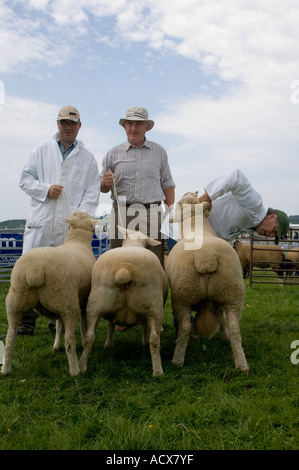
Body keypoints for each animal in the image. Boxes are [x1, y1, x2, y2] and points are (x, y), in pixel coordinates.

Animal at [0, 211, 97, 376]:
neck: (78, 241)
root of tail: (35, 271)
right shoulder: (83, 301)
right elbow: (83, 326)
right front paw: (85, 345)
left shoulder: (60, 308)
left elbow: (58, 325)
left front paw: (56, 346)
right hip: (67, 302)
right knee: (69, 340)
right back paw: (75, 370)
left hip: (16, 302)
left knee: (10, 338)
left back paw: (6, 370)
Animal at [79, 226, 169, 376]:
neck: (133, 244)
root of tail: (124, 269)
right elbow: (143, 326)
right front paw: (144, 341)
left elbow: (111, 324)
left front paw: (108, 344)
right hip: (154, 306)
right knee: (155, 340)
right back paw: (158, 371)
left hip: (96, 304)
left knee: (89, 337)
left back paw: (81, 367)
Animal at [168, 193, 250, 372]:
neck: (196, 226)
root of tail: (205, 258)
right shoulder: (219, 301)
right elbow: (221, 318)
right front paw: (225, 336)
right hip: (233, 293)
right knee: (235, 327)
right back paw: (241, 364)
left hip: (182, 296)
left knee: (185, 327)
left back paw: (177, 359)